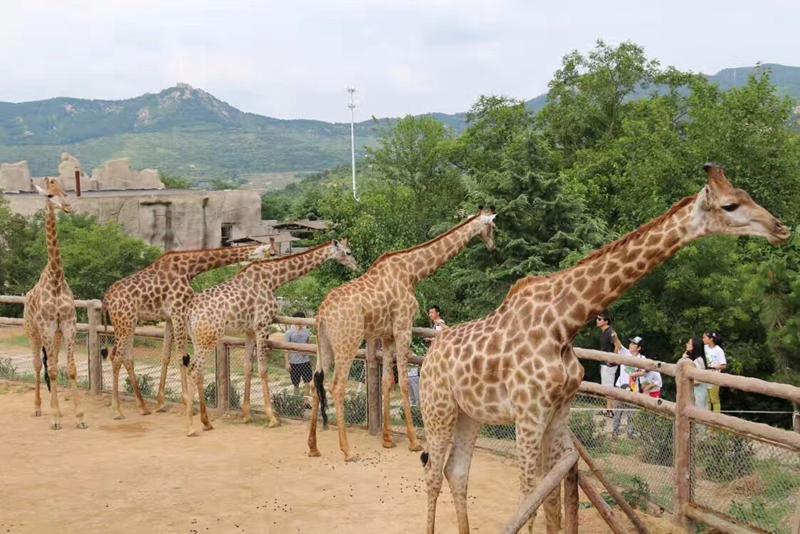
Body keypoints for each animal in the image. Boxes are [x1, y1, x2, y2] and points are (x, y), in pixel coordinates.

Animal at [100, 245, 268, 420]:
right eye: (267, 253)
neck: (190, 268)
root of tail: (106, 299)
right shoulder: (178, 311)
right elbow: (182, 356)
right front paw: (188, 402)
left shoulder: (169, 316)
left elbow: (166, 356)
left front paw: (161, 402)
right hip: (125, 322)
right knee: (116, 357)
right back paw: (117, 410)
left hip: (127, 323)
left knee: (126, 358)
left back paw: (143, 407)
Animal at [184, 241, 360, 438]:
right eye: (348, 252)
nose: (357, 266)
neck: (273, 279)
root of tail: (190, 313)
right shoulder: (262, 325)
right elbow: (263, 369)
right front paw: (272, 418)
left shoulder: (250, 330)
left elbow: (248, 367)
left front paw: (246, 415)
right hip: (208, 337)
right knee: (193, 370)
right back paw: (190, 427)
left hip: (198, 339)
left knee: (197, 370)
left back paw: (206, 422)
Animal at [304, 207, 496, 462]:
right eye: (492, 226)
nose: (493, 245)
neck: (413, 272)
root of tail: (322, 315)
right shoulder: (404, 326)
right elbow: (404, 381)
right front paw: (414, 441)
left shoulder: (387, 335)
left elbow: (387, 381)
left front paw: (387, 439)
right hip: (348, 342)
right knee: (336, 386)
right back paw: (347, 450)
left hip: (323, 344)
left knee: (315, 383)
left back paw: (313, 447)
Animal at [422, 164, 792, 534]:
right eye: (730, 205)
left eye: (747, 195)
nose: (781, 228)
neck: (564, 325)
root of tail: (428, 355)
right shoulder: (529, 412)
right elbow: (529, 497)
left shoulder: (557, 411)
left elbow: (551, 495)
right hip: (438, 409)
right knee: (433, 473)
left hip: (469, 414)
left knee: (456, 471)